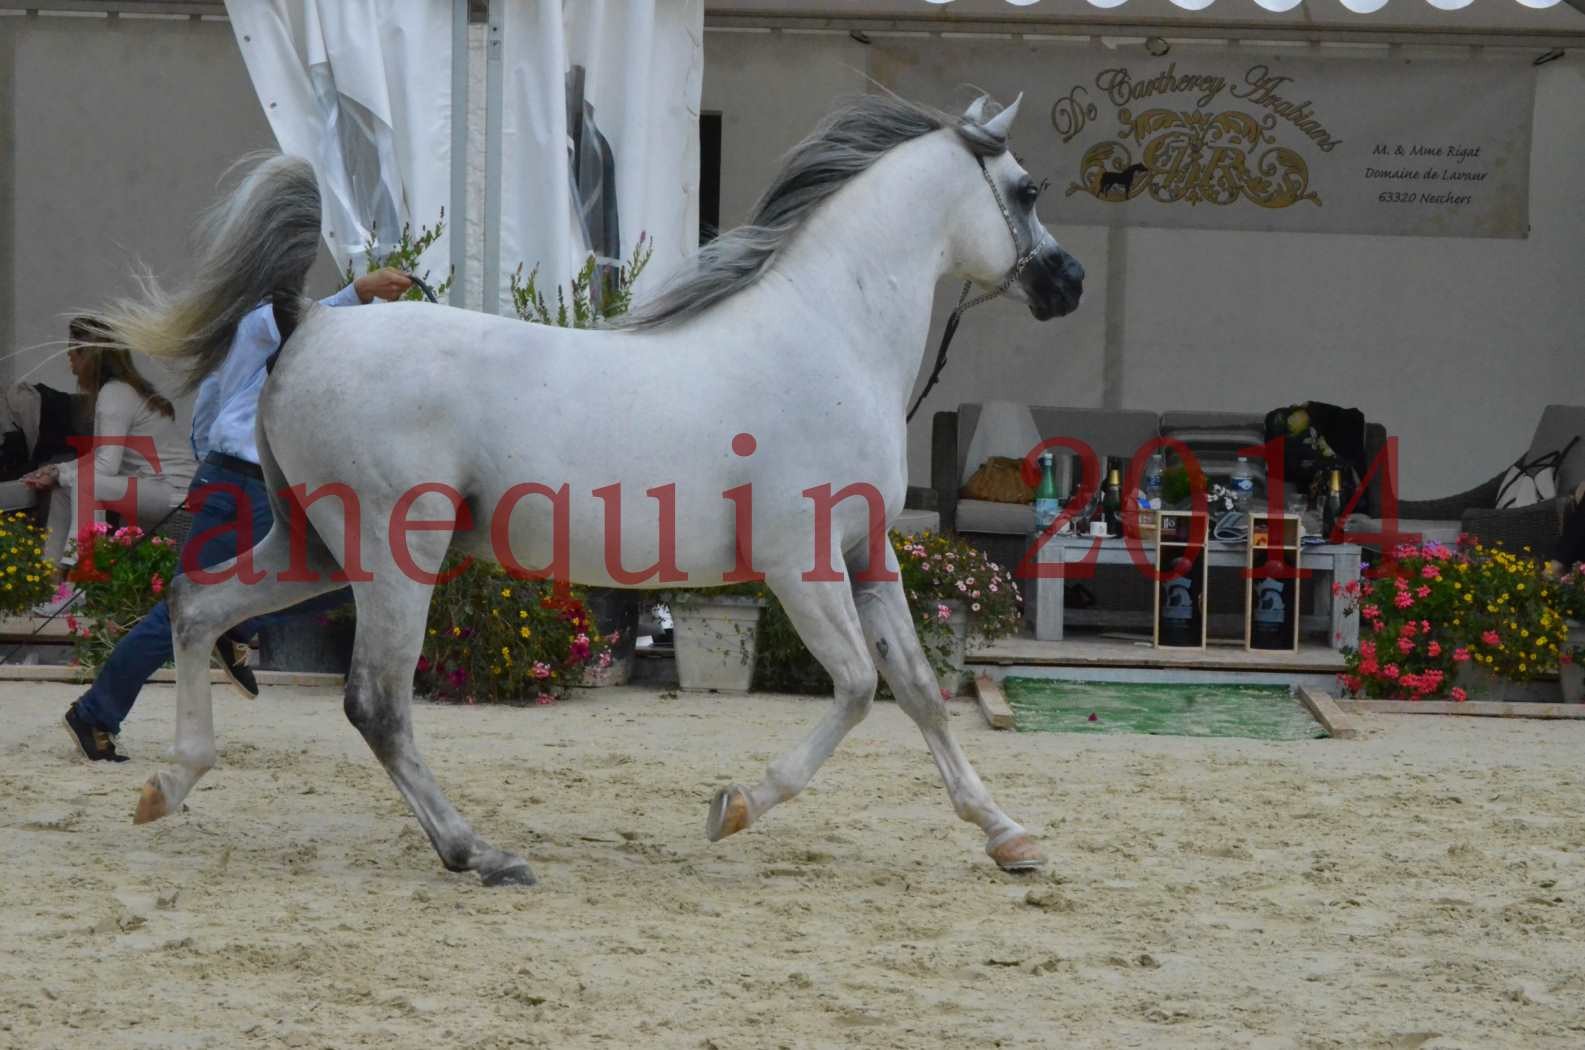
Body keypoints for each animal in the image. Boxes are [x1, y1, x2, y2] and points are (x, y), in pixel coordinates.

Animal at [95, 96, 1077, 888]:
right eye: (1026, 189)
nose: (1066, 282)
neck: (829, 335)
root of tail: (309, 325)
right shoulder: (800, 564)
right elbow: (855, 689)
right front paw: (733, 808)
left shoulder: (867, 555)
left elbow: (917, 690)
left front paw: (1009, 837)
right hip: (391, 557)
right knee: (375, 703)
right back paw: (479, 854)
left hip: (312, 544)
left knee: (194, 604)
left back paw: (166, 785)